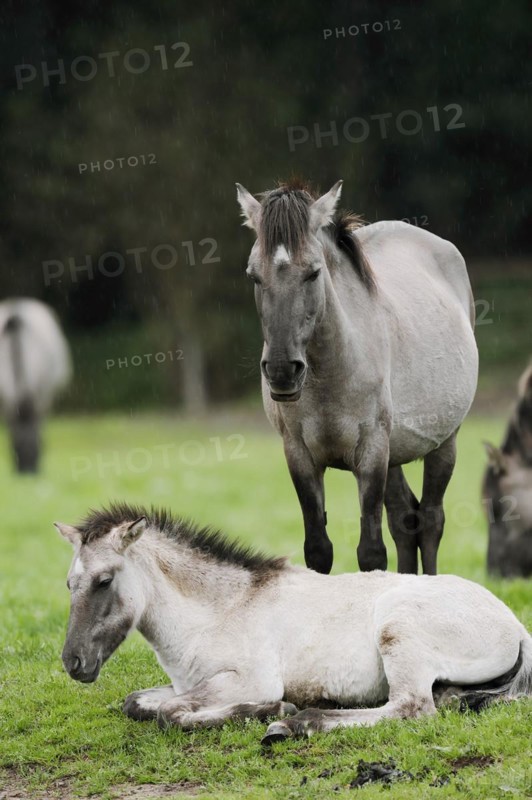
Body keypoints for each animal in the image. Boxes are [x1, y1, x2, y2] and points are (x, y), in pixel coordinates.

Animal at [57, 503, 531, 745]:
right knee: (440, 700)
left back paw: (296, 723)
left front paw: (273, 709)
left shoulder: (248, 680)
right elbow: (137, 703)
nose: (73, 663)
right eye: (69, 583)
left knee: (412, 708)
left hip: (399, 630)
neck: (221, 610)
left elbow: (172, 715)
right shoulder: (186, 684)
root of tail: (515, 624)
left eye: (104, 581)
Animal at [236, 178, 478, 576]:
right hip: (397, 453)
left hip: (445, 442)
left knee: (430, 520)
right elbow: (318, 550)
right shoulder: (300, 455)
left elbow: (372, 553)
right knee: (404, 520)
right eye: (254, 275)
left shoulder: (372, 451)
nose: (283, 371)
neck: (329, 373)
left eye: (313, 272)